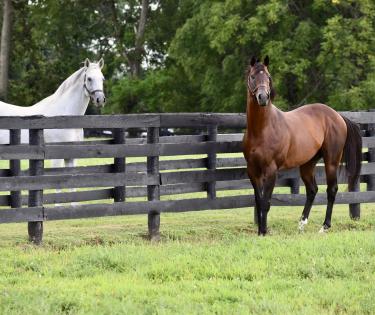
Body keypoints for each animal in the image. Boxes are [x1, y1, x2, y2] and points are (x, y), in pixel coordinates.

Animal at [242, 55, 362, 236]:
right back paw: (301, 224)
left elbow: (266, 202)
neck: (262, 130)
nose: (263, 97)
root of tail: (337, 116)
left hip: (331, 161)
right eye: (253, 76)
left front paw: (264, 232)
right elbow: (258, 200)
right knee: (312, 190)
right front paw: (260, 232)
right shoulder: (252, 170)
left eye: (268, 77)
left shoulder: (271, 171)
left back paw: (324, 226)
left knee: (331, 190)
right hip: (307, 164)